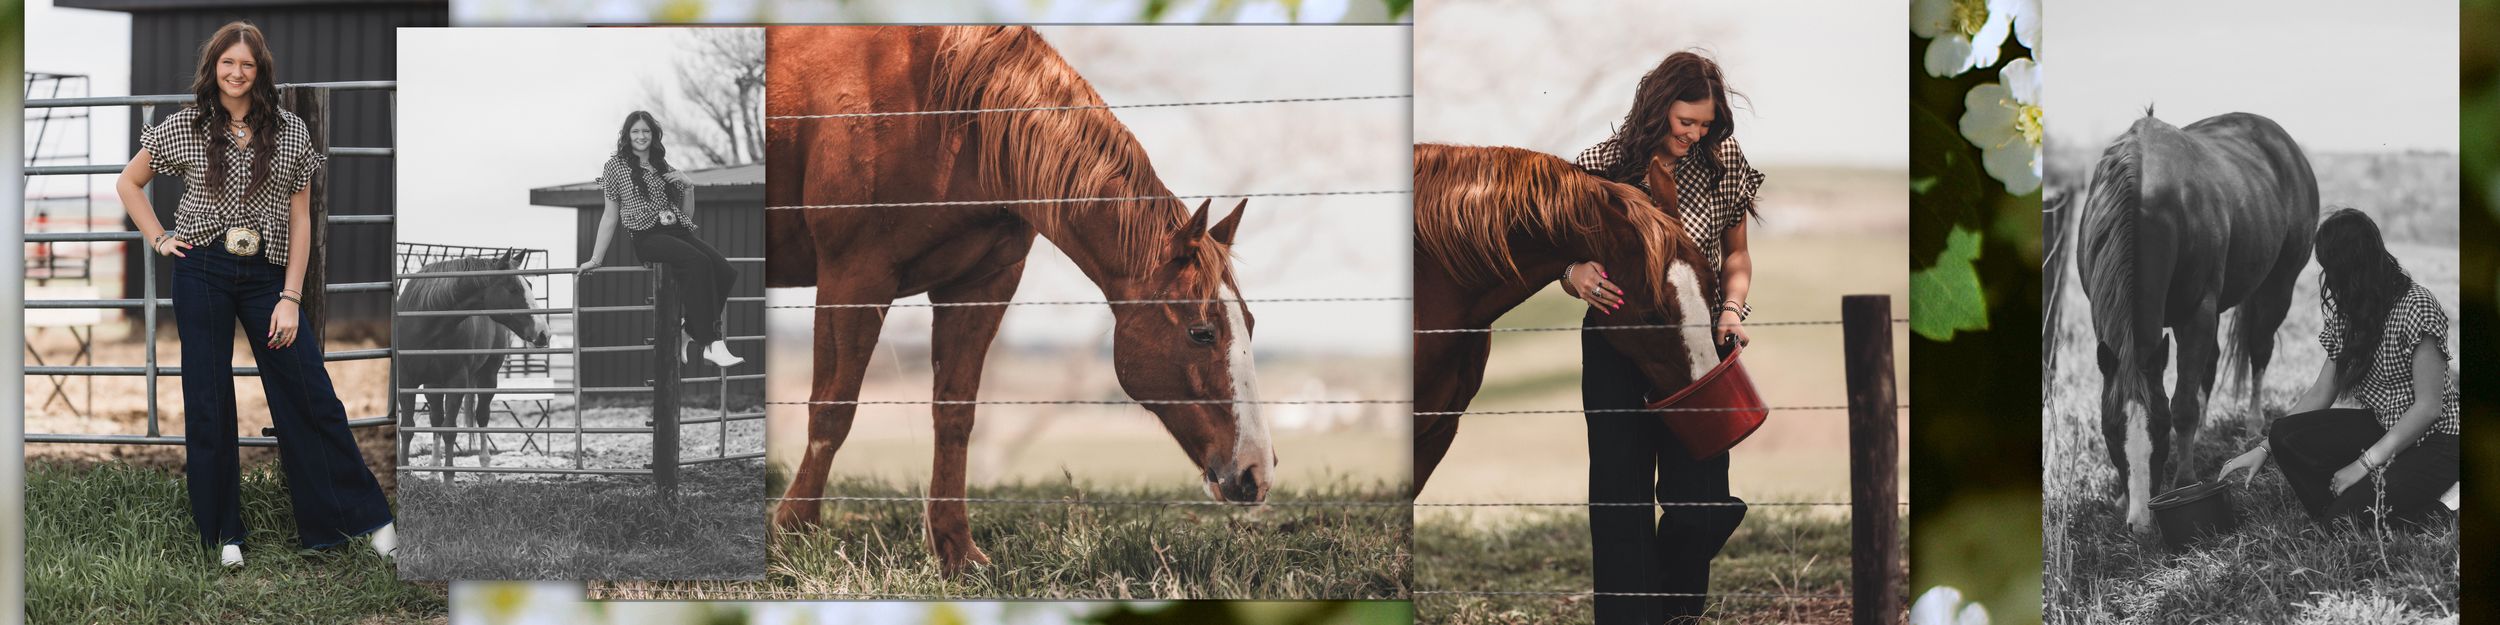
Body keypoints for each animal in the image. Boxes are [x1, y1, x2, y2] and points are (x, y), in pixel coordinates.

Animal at [396, 252, 551, 478]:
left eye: (529, 285)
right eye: (513, 288)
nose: (543, 333)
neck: (427, 322)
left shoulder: (457, 381)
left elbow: (450, 430)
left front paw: (449, 478)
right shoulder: (406, 381)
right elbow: (408, 427)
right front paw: (405, 474)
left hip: (488, 377)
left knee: (482, 416)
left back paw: (485, 469)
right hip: (433, 384)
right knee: (436, 418)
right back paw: (433, 471)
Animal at [764, 26, 1271, 575]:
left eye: (1249, 323)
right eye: (1202, 332)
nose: (1256, 472)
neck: (944, 112)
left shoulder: (981, 286)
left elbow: (955, 415)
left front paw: (957, 551)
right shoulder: (855, 275)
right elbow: (832, 408)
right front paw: (792, 533)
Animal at [2065, 110, 2317, 533]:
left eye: (2160, 430)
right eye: (2110, 433)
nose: (2140, 524)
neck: (2151, 199)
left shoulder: (2196, 313)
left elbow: (2183, 405)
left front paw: (2183, 481)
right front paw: (2122, 497)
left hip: (2277, 288)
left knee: (2258, 351)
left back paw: (2252, 425)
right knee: (2210, 367)